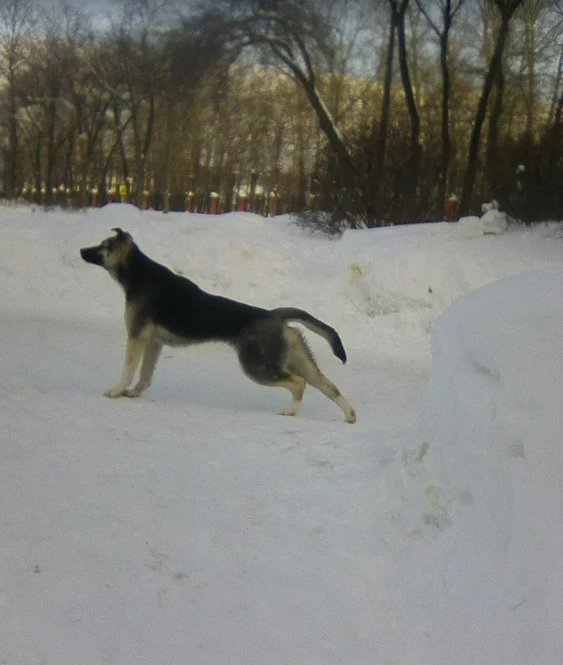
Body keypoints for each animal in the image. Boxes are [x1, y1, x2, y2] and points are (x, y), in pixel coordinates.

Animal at [80, 228, 356, 422]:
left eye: (103, 246)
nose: (82, 250)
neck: (139, 274)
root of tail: (275, 316)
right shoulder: (154, 343)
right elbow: (145, 376)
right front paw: (135, 393)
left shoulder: (136, 337)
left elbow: (128, 370)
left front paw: (116, 391)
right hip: (298, 361)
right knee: (329, 386)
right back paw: (349, 416)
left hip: (258, 367)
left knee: (299, 383)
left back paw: (291, 411)